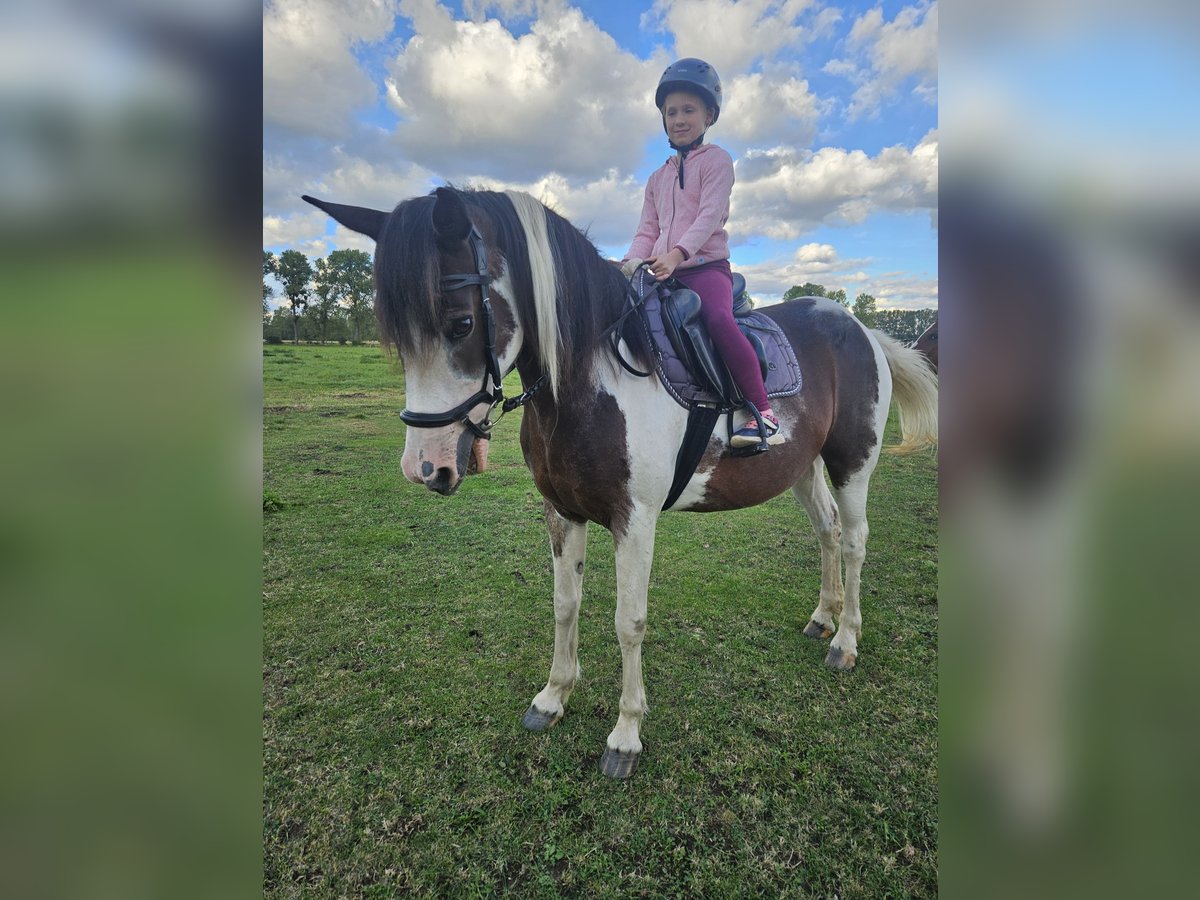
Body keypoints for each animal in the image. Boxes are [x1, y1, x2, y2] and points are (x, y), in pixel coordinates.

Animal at [300, 187, 936, 777]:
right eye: (394, 335)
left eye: (461, 322)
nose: (426, 467)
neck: (595, 375)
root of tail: (859, 327)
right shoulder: (562, 511)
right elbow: (566, 604)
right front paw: (553, 697)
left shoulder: (635, 521)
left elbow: (629, 622)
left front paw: (626, 735)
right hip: (802, 468)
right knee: (827, 532)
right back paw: (822, 618)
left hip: (852, 462)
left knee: (853, 542)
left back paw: (845, 642)